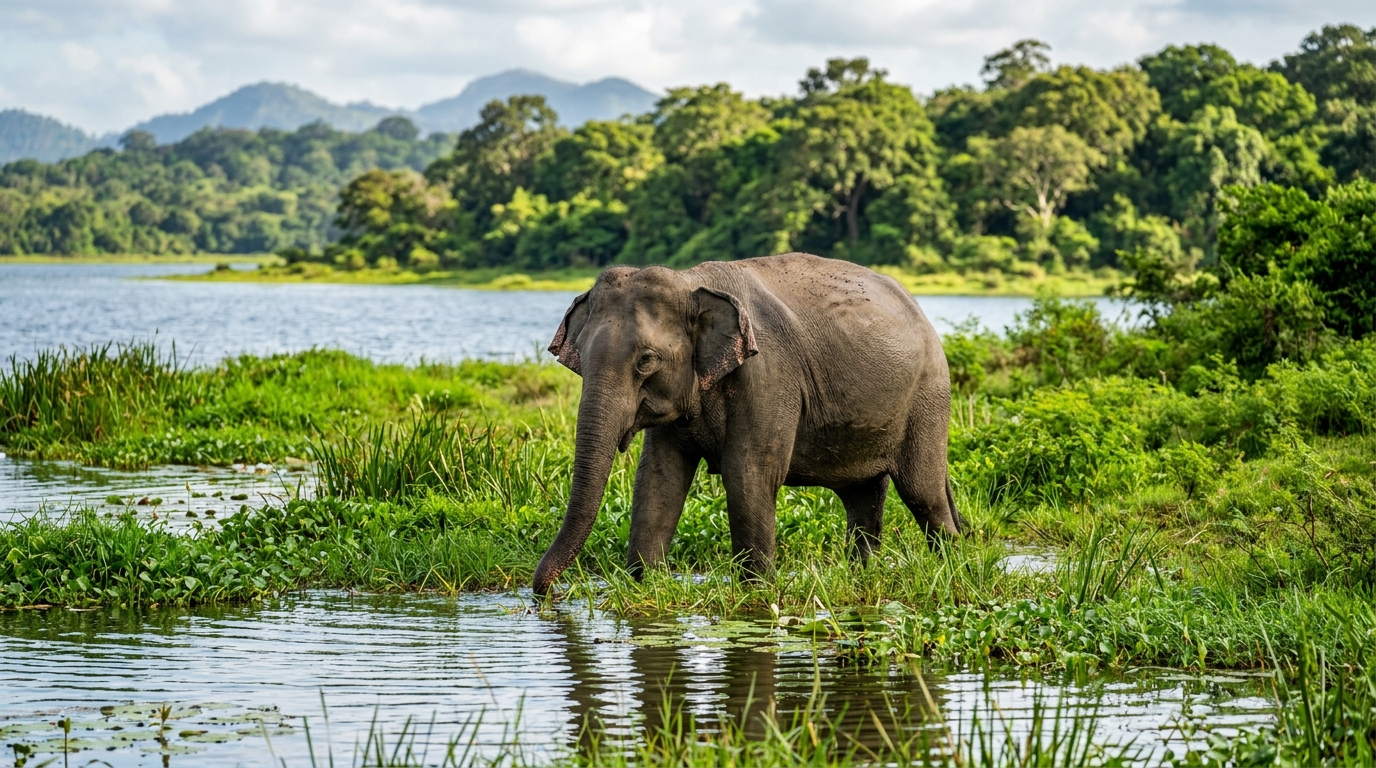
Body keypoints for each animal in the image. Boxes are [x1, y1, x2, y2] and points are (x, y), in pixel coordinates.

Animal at [532, 252, 962, 595]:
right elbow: (658, 477)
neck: (692, 283)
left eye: (646, 360)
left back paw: (952, 568)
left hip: (928, 398)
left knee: (923, 493)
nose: (544, 593)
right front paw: (645, 584)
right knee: (863, 496)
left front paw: (756, 592)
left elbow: (747, 474)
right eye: (580, 356)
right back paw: (863, 577)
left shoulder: (769, 375)